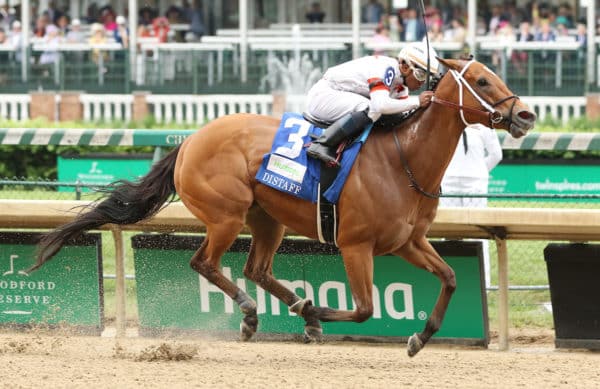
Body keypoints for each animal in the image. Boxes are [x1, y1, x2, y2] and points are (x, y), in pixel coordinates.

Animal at [35, 57, 536, 354]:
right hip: (227, 215)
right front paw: (315, 314)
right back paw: (255, 314)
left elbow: (449, 278)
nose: (526, 114)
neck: (402, 159)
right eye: (481, 80)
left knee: (255, 269)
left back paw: (287, 308)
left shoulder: (407, 241)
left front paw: (419, 336)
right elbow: (364, 308)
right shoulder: (355, 245)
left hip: (267, 219)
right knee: (206, 263)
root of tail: (190, 139)